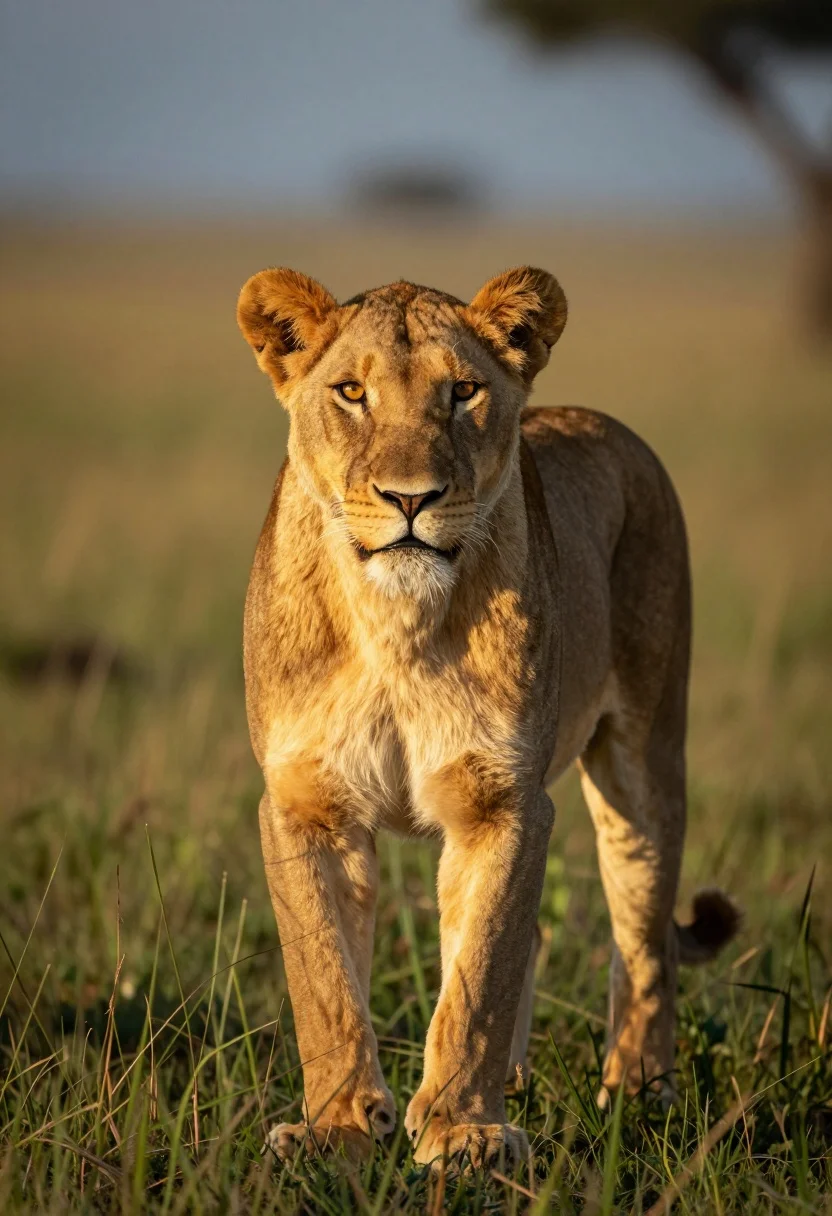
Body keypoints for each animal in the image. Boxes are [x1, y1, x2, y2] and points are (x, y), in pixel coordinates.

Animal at [237, 264, 739, 1170]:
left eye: (463, 391)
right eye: (352, 392)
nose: (410, 498)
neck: (395, 623)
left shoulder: (503, 801)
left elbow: (480, 972)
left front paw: (460, 1132)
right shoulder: (304, 803)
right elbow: (323, 978)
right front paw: (337, 1130)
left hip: (646, 763)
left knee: (645, 941)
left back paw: (636, 1096)